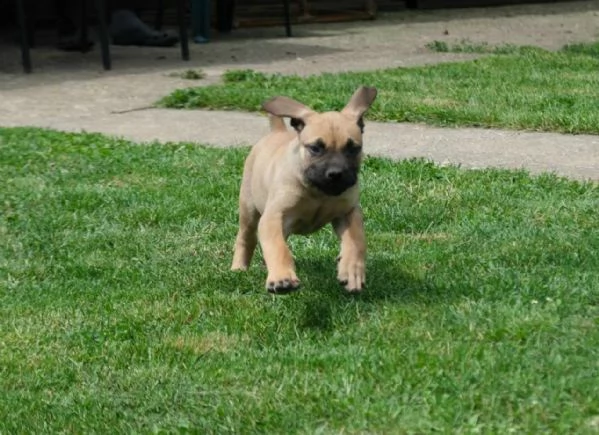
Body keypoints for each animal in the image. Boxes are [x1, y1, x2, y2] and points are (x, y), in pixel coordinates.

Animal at [232, 86, 378, 294]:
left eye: (353, 149)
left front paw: (351, 270)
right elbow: (277, 247)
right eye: (316, 148)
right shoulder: (274, 216)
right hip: (249, 209)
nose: (336, 174)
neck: (318, 193)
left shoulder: (349, 212)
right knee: (246, 237)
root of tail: (277, 131)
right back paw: (238, 268)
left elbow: (356, 241)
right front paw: (282, 277)